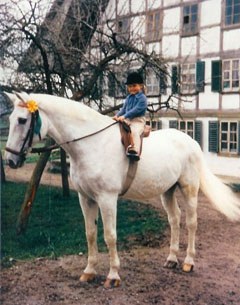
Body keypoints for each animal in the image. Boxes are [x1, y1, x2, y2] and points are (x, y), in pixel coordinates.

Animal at [4, 92, 240, 288]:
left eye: (22, 120)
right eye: (11, 119)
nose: (10, 160)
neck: (92, 143)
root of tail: (190, 141)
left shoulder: (107, 199)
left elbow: (110, 236)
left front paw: (113, 276)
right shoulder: (85, 198)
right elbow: (90, 234)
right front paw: (89, 272)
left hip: (189, 188)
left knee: (191, 222)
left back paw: (188, 262)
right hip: (167, 190)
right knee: (175, 219)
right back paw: (171, 259)